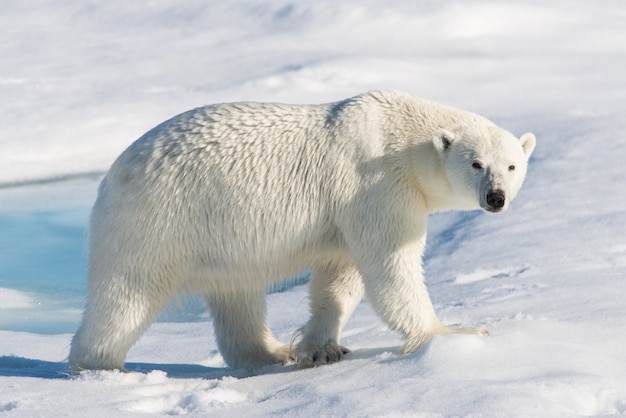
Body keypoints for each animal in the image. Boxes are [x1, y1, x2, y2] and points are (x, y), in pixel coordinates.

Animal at [69, 90, 536, 370]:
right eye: (476, 163)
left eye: (512, 165)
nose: (496, 197)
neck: (402, 136)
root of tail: (112, 173)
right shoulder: (376, 185)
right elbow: (390, 265)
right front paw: (454, 333)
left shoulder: (349, 208)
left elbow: (340, 277)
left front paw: (320, 346)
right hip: (157, 219)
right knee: (127, 293)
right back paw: (99, 365)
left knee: (236, 294)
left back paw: (272, 352)